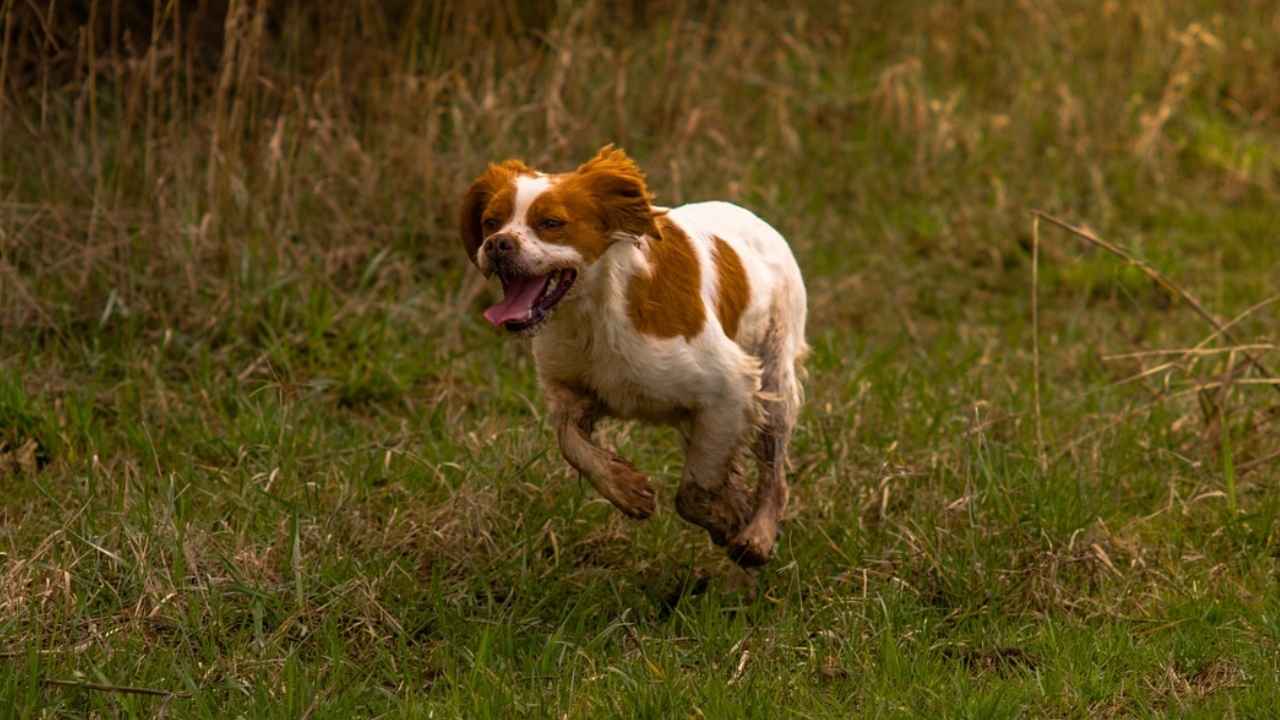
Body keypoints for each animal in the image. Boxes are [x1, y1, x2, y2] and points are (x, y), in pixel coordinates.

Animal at [460, 146, 803, 566]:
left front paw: (728, 519)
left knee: (774, 473)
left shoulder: (731, 387)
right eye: (491, 222)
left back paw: (758, 535)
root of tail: (758, 221)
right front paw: (627, 489)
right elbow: (570, 443)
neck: (593, 314)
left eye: (551, 223)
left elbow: (693, 492)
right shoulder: (570, 390)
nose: (497, 244)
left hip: (775, 379)